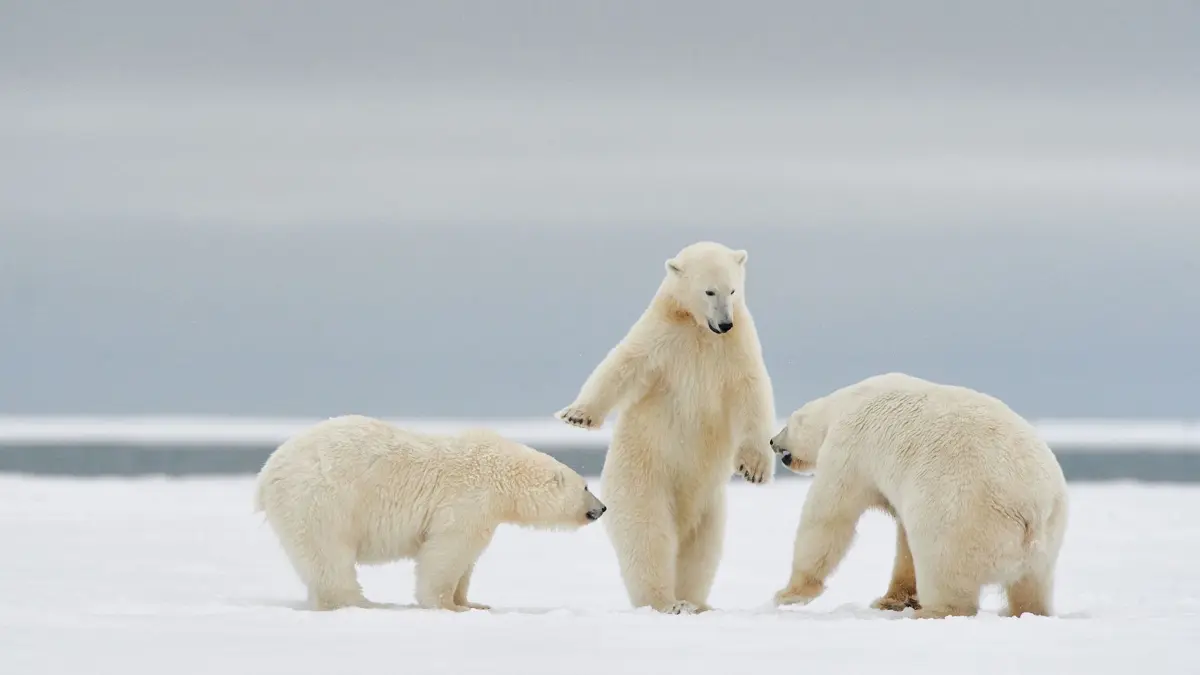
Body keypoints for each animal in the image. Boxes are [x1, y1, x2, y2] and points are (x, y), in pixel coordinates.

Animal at [254, 414, 607, 611]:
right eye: (586, 486)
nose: (602, 508)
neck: (503, 472)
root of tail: (267, 473)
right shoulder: (469, 498)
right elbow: (447, 552)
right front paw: (448, 606)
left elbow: (467, 561)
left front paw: (472, 602)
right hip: (320, 499)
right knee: (329, 556)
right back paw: (363, 602)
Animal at [555, 240, 777, 615]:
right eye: (709, 290)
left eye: (733, 289)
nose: (725, 323)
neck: (698, 330)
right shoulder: (662, 337)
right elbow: (623, 364)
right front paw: (577, 415)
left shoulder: (737, 348)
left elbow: (752, 394)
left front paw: (755, 469)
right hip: (644, 480)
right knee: (649, 537)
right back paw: (667, 602)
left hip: (710, 505)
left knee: (701, 550)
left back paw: (696, 602)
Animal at [767, 372, 1069, 619]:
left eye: (787, 426)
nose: (771, 441)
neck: (847, 400)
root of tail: (1031, 509)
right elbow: (904, 541)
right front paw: (891, 600)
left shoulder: (849, 446)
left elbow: (828, 514)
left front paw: (788, 594)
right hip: (1049, 538)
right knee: (1032, 586)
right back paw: (1029, 611)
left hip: (962, 517)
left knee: (942, 567)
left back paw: (932, 611)